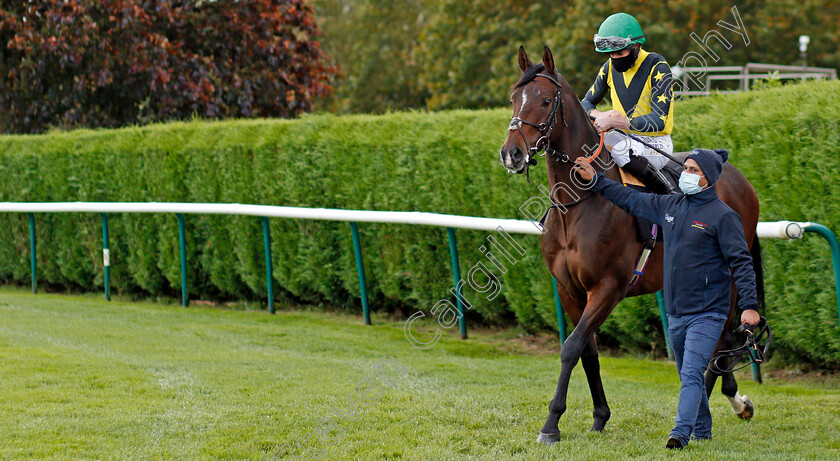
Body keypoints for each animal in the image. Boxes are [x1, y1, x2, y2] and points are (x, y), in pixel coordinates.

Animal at [498, 45, 768, 442]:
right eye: (513, 99)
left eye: (546, 101)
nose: (512, 153)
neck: (579, 203)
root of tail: (738, 178)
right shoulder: (569, 290)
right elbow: (587, 352)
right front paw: (599, 416)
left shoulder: (608, 287)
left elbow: (571, 347)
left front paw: (551, 424)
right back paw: (731, 400)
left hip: (729, 277)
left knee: (720, 334)